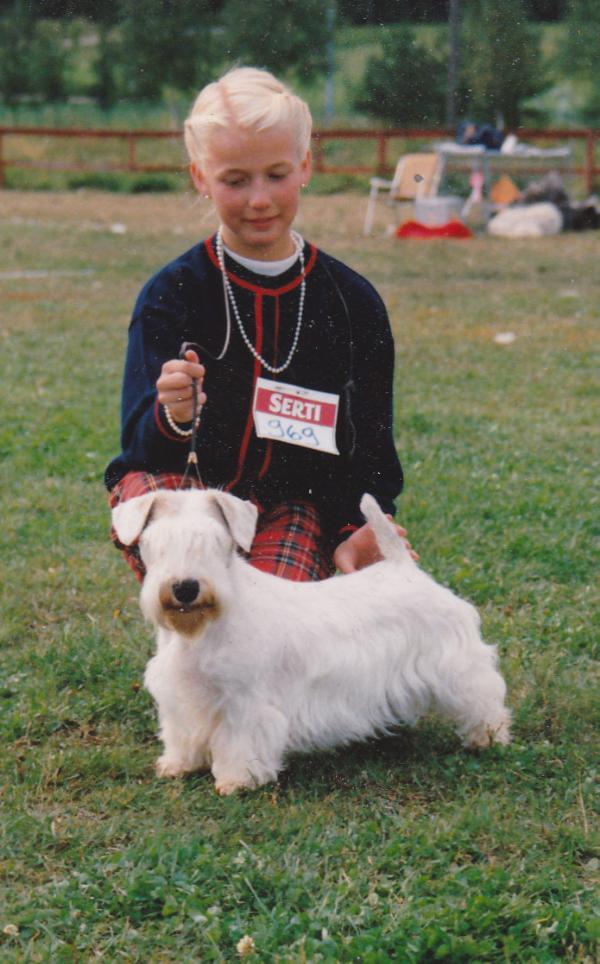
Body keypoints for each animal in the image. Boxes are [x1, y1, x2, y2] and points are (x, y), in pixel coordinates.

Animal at [110, 494, 508, 796]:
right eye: (155, 543)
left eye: (216, 542)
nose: (186, 588)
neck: (203, 628)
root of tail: (404, 569)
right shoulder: (183, 694)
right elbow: (181, 731)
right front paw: (177, 764)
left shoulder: (244, 701)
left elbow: (240, 739)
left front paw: (237, 779)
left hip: (458, 665)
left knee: (483, 697)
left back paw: (488, 737)